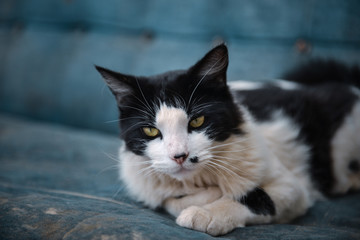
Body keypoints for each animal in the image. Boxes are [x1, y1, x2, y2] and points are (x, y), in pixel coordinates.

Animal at [95, 44, 360, 236]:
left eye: (197, 121)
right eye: (150, 131)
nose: (179, 156)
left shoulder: (292, 188)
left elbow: (255, 198)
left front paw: (208, 213)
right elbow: (170, 200)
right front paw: (206, 197)